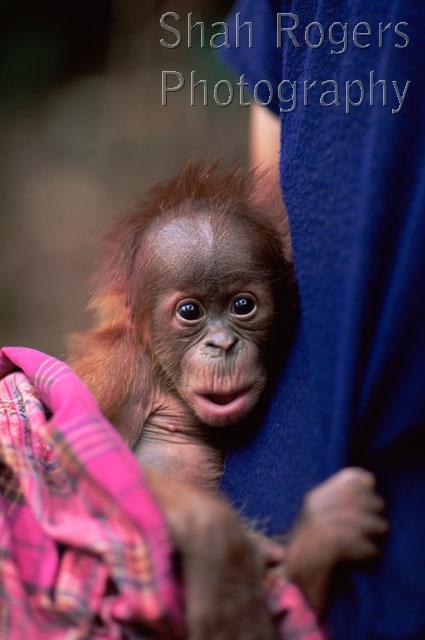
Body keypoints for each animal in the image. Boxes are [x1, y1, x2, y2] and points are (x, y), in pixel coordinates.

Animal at [69, 162, 388, 640]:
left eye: (243, 305)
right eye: (190, 312)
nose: (221, 344)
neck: (167, 382)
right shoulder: (114, 373)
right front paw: (226, 560)